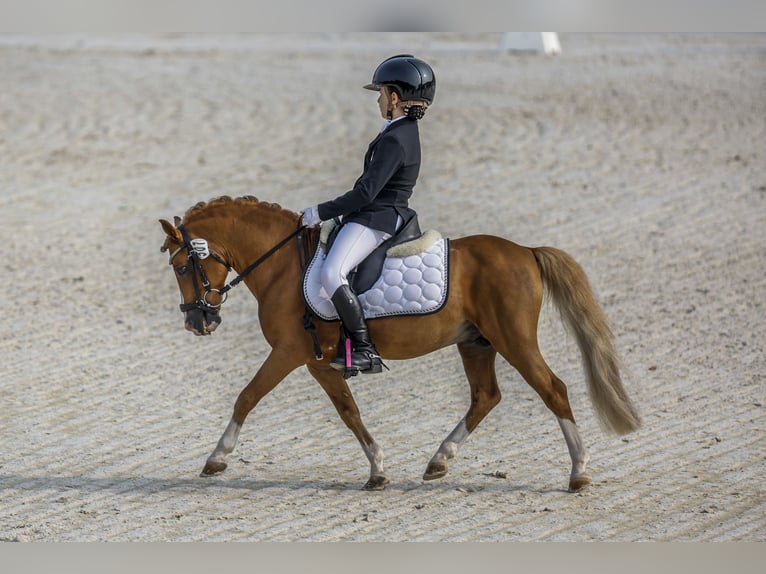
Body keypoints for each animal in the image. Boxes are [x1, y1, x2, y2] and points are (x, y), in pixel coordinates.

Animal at [162, 196, 640, 492]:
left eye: (183, 265)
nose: (198, 322)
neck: (283, 267)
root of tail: (525, 251)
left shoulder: (288, 353)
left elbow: (247, 396)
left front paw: (216, 458)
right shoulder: (318, 362)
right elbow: (349, 412)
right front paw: (377, 471)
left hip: (514, 340)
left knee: (552, 390)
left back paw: (579, 473)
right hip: (477, 343)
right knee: (486, 396)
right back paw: (439, 461)